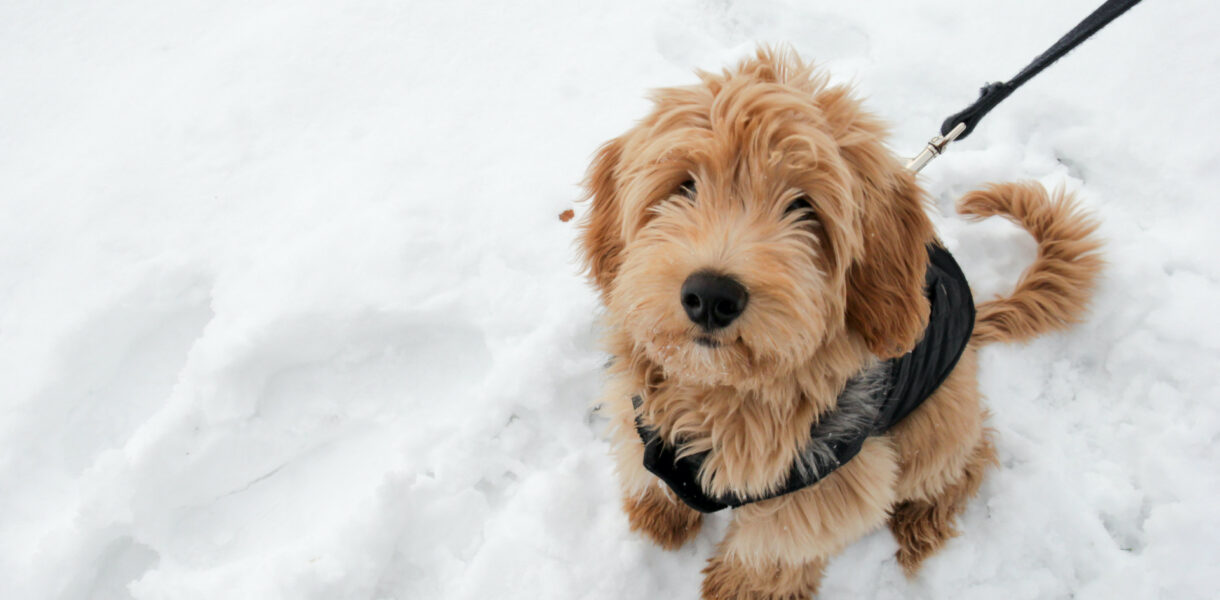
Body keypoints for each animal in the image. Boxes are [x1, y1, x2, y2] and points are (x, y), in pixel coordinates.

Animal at [575, 49, 1102, 597]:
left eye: (803, 207)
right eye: (685, 186)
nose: (711, 296)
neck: (726, 394)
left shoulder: (829, 481)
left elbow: (774, 547)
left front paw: (742, 589)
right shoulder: (642, 421)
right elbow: (652, 472)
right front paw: (660, 513)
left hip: (933, 422)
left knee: (970, 457)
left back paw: (924, 521)